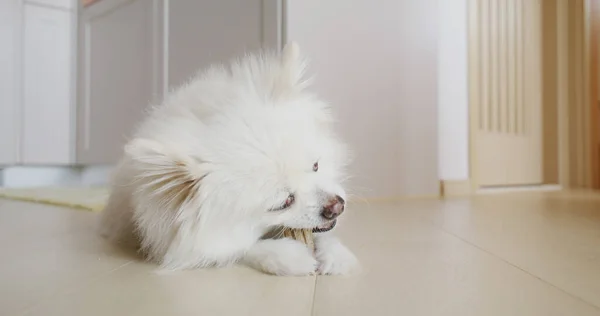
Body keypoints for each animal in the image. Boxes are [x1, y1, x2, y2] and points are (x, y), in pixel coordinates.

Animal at [99, 42, 356, 276]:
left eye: (316, 166)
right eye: (284, 202)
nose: (337, 206)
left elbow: (326, 235)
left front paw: (335, 253)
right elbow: (234, 248)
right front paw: (286, 256)